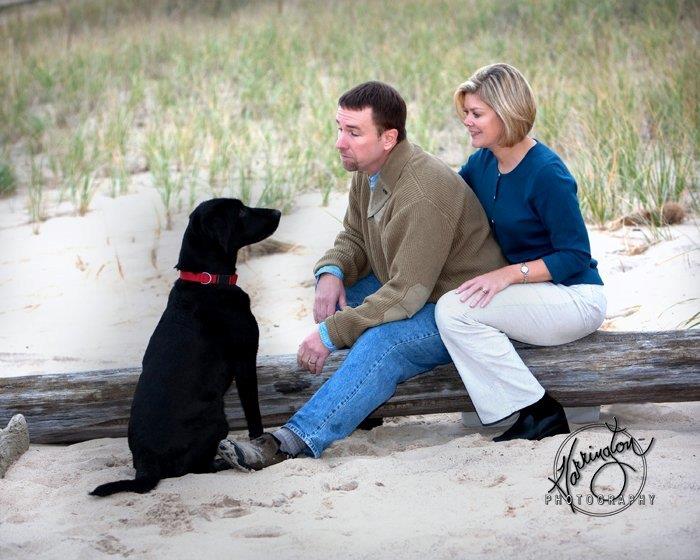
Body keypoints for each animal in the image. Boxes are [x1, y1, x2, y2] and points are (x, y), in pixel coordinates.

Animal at [90, 198, 280, 496]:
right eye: (239, 210)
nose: (277, 212)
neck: (208, 280)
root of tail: (146, 463)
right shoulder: (246, 360)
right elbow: (254, 414)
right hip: (218, 418)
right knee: (195, 468)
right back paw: (221, 463)